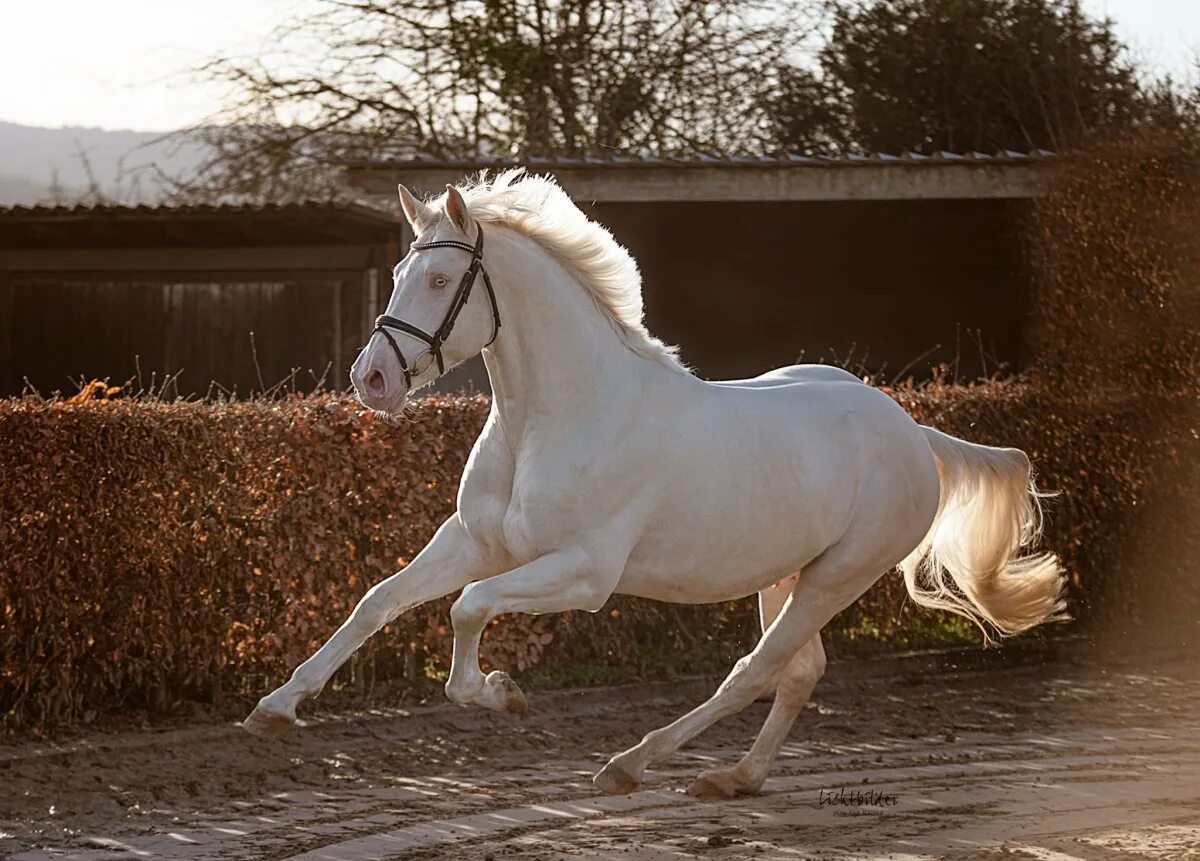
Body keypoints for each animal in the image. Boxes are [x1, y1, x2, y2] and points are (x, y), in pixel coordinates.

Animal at [241, 170, 1060, 801]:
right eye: (399, 276)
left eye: (441, 280)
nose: (371, 380)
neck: (554, 418)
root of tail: (913, 432)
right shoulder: (475, 542)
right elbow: (377, 600)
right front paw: (274, 708)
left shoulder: (582, 573)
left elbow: (467, 609)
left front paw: (502, 693)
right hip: (786, 573)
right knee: (799, 671)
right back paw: (734, 779)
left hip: (838, 576)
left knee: (755, 670)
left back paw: (632, 764)